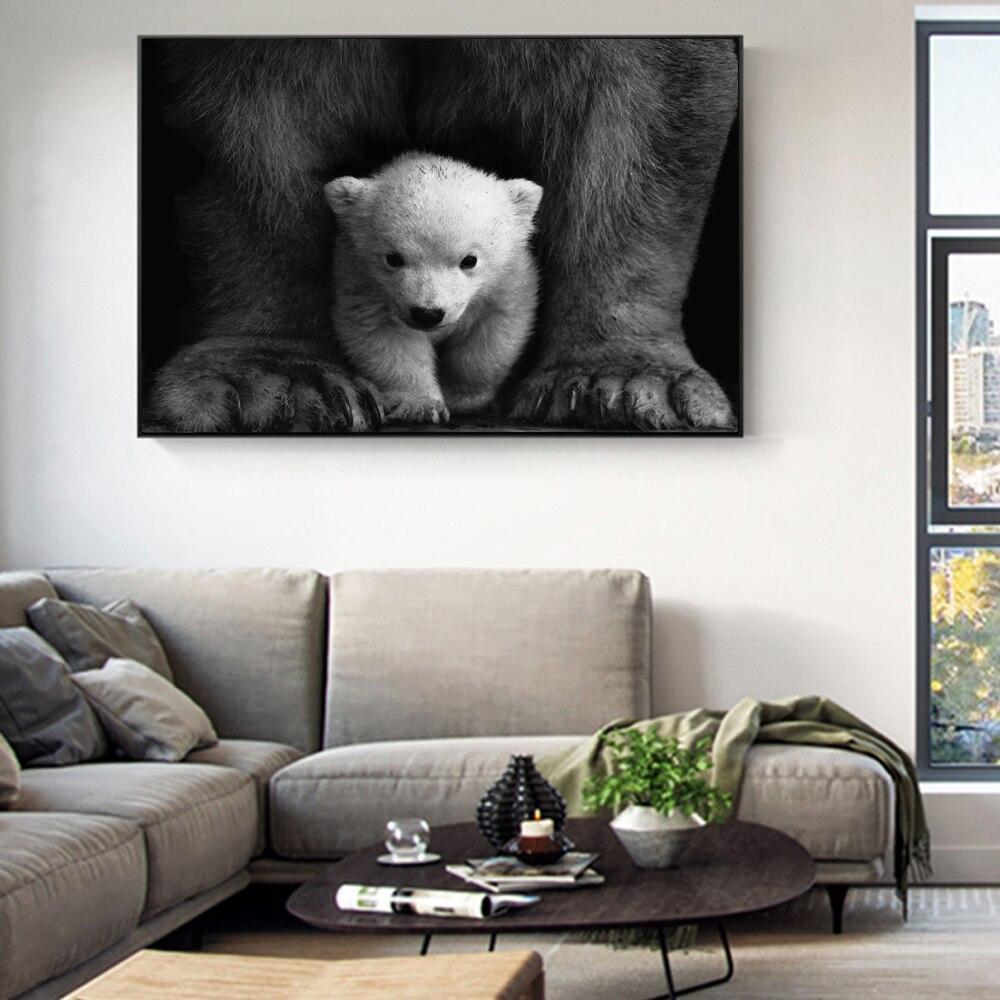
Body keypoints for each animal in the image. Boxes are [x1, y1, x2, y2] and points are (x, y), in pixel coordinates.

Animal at [323, 153, 543, 425]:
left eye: (470, 260)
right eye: (393, 258)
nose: (428, 313)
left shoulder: (507, 281)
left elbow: (493, 334)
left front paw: (461, 396)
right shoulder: (362, 283)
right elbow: (386, 338)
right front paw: (421, 406)